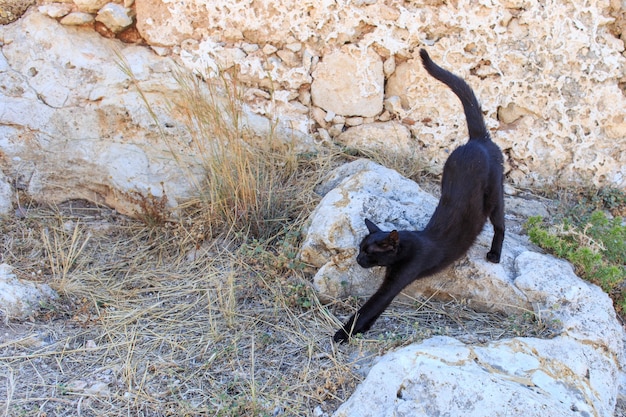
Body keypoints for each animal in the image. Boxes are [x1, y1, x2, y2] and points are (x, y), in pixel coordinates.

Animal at [334, 49, 504, 342]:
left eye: (369, 253)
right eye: (359, 249)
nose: (357, 260)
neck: (406, 246)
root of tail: (477, 141)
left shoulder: (397, 280)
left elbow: (369, 308)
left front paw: (342, 334)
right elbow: (373, 312)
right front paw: (359, 331)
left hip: (494, 195)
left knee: (501, 223)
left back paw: (495, 254)